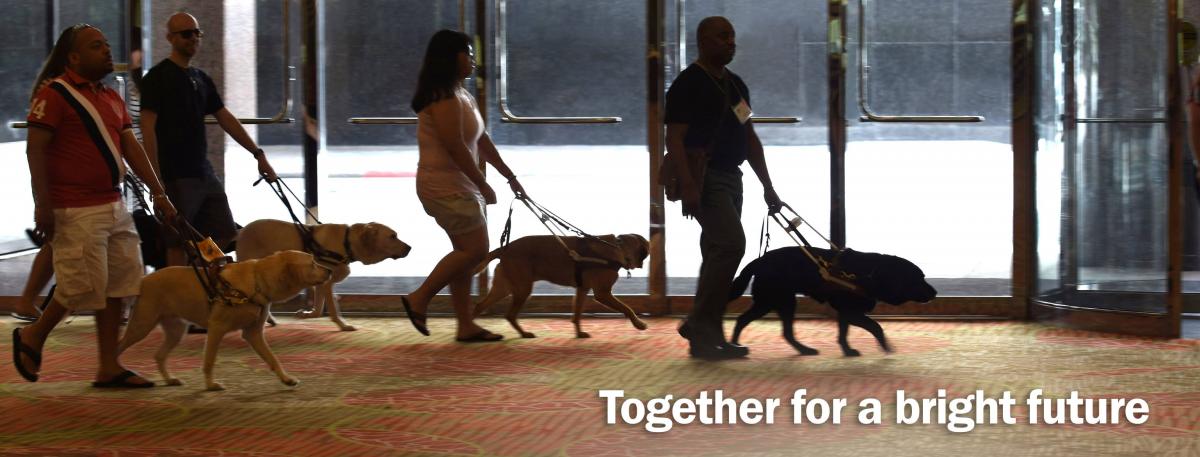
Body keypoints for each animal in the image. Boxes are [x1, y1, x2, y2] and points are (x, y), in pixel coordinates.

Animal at [120, 247, 333, 391]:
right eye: (312, 263)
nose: (330, 270)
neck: (257, 282)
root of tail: (143, 279)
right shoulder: (216, 328)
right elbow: (209, 360)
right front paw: (211, 385)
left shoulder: (253, 333)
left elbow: (272, 358)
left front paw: (286, 379)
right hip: (141, 325)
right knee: (118, 345)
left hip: (175, 330)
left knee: (159, 355)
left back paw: (169, 379)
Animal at [472, 235, 652, 338]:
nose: (642, 264)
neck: (617, 248)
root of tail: (504, 249)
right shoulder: (603, 293)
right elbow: (627, 308)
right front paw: (639, 324)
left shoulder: (582, 290)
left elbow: (577, 315)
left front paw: (578, 333)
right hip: (522, 289)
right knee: (509, 314)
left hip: (504, 287)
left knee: (480, 306)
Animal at [729, 245, 936, 355]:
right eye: (919, 278)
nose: (934, 293)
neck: (871, 273)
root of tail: (758, 260)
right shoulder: (851, 311)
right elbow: (876, 326)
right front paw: (886, 346)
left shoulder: (846, 311)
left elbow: (843, 332)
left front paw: (847, 350)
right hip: (774, 300)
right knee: (745, 320)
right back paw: (734, 345)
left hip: (777, 301)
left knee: (777, 329)